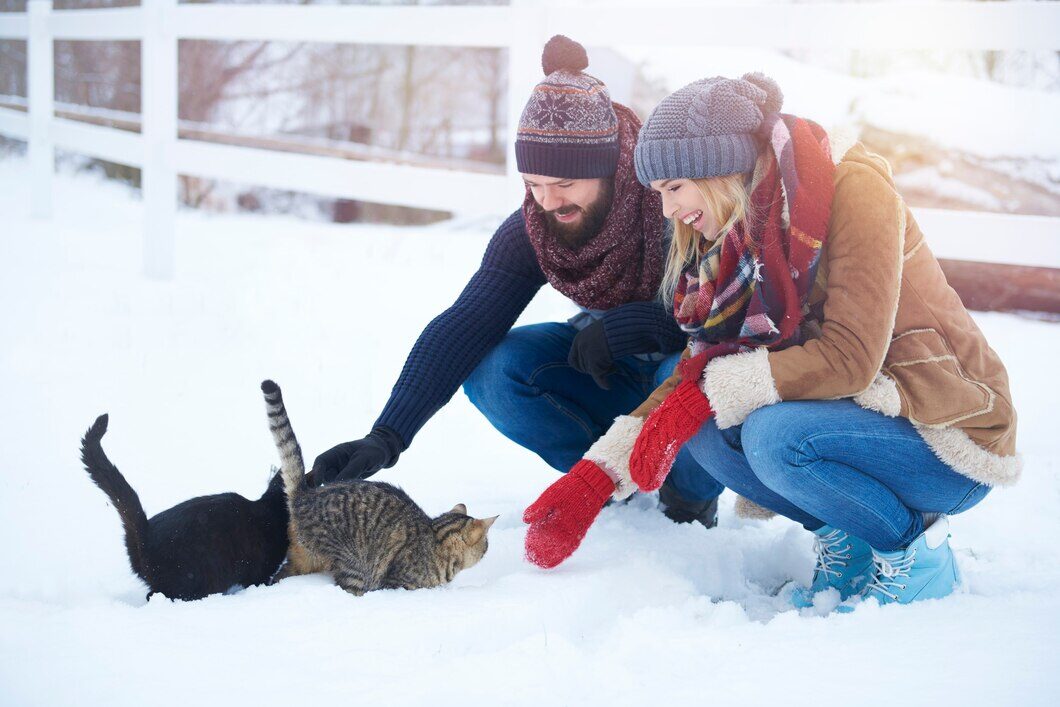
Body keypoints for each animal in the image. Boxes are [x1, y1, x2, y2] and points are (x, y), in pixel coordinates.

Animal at [262, 379, 498, 593]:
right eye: (486, 544)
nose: (488, 549)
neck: (436, 538)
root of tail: (305, 496)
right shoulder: (396, 584)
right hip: (354, 565)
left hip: (303, 558)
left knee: (281, 574)